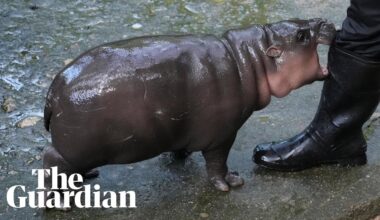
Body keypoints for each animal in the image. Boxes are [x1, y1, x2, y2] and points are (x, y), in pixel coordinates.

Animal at [43, 18, 336, 192]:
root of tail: (54, 89)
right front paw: (230, 183)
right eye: (301, 35)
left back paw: (85, 177)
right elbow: (217, 163)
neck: (250, 59)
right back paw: (61, 203)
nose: (327, 21)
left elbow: (181, 145)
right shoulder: (223, 134)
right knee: (51, 161)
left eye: (300, 25)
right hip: (73, 149)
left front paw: (180, 156)